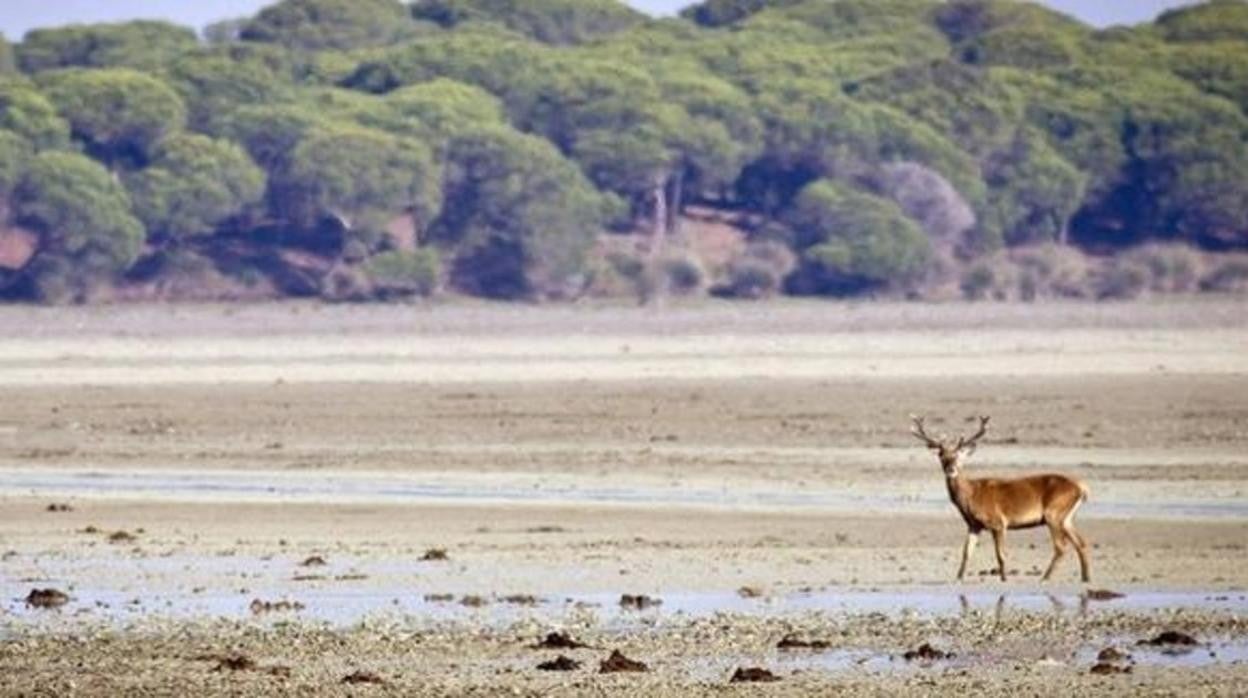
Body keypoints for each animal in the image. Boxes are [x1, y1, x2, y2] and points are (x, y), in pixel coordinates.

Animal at [910, 415, 1091, 583]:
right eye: (942, 455)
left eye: (959, 455)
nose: (951, 469)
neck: (972, 496)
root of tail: (1081, 488)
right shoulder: (974, 525)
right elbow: (966, 552)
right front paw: (958, 578)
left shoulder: (998, 523)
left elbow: (1000, 555)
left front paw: (1004, 579)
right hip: (1066, 518)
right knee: (1081, 543)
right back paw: (1085, 578)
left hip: (1053, 513)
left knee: (1061, 547)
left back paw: (1045, 578)